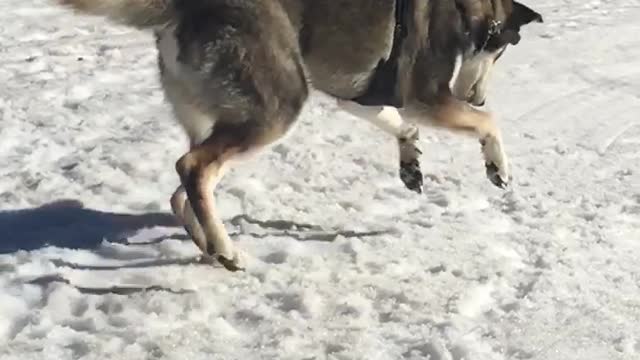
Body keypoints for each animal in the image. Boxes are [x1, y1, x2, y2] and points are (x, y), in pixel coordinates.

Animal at [53, 0, 540, 270]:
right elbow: (489, 123)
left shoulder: (358, 95)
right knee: (191, 168)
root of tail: (185, 8)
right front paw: (497, 166)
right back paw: (226, 249)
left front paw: (410, 162)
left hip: (221, 116)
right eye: (501, 50)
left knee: (182, 191)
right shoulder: (425, 94)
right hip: (276, 108)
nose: (476, 95)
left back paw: (210, 247)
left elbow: (400, 123)